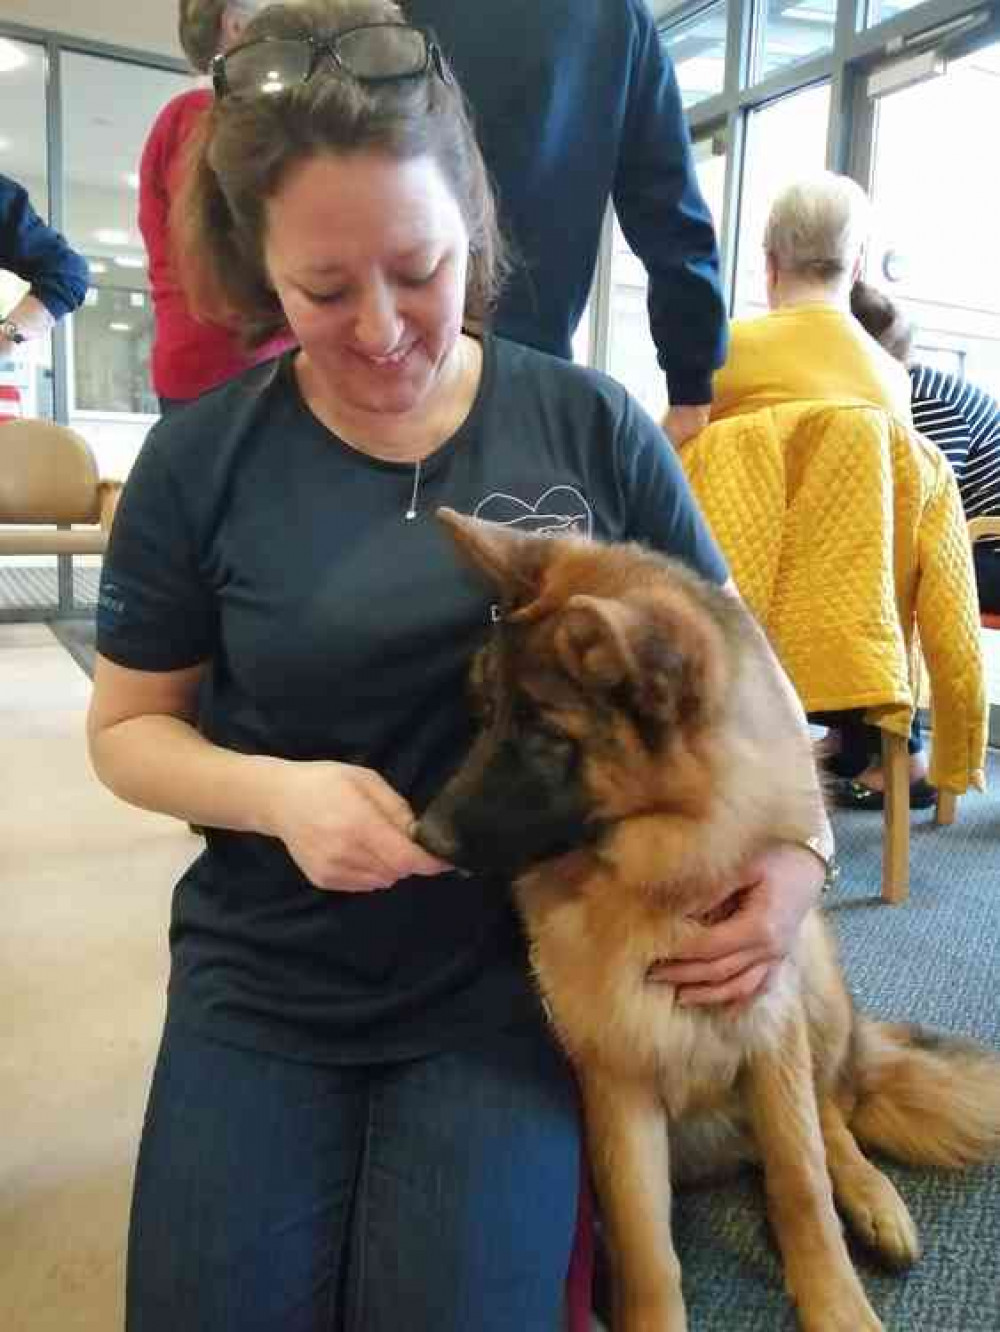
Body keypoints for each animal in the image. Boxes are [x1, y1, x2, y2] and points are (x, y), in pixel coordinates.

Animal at [418, 508, 1000, 1332]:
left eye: (545, 736)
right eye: (487, 715)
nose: (422, 837)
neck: (652, 878)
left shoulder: (769, 1038)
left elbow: (801, 1185)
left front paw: (835, 1302)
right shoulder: (618, 1082)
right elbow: (645, 1245)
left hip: (811, 978)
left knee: (834, 1116)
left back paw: (871, 1196)